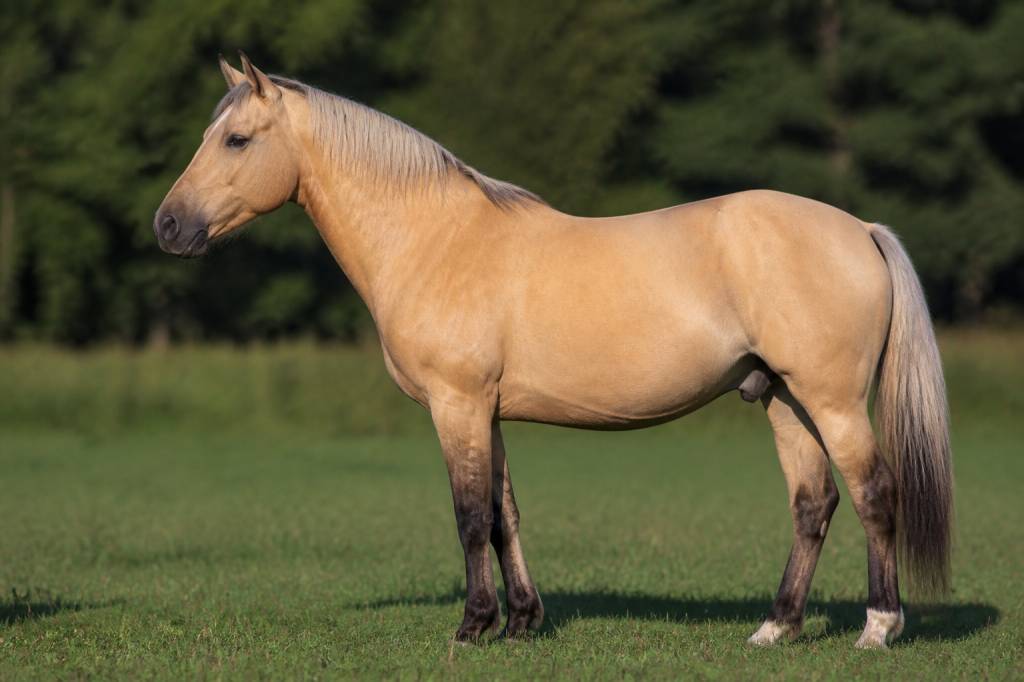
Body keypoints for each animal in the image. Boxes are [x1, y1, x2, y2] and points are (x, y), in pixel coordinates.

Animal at [154, 54, 952, 649]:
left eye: (236, 140)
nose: (167, 226)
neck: (434, 240)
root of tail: (860, 229)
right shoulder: (488, 411)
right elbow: (504, 512)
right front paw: (521, 622)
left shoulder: (456, 405)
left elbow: (469, 515)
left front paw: (472, 626)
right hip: (783, 399)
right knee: (813, 503)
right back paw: (775, 628)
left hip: (831, 401)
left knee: (875, 492)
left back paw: (879, 627)